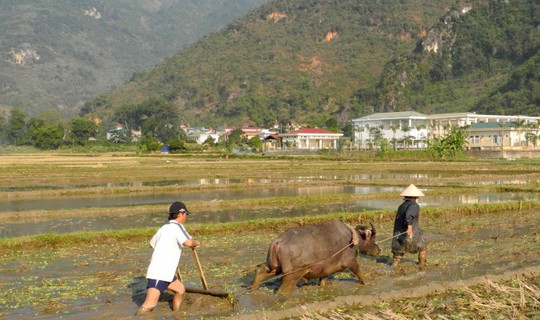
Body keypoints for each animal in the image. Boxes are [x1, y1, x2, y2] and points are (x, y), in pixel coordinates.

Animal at [252, 221, 382, 294]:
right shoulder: (350, 261)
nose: (379, 250)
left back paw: (253, 289)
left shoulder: (326, 267)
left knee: (261, 271)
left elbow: (324, 278)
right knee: (283, 290)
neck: (353, 239)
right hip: (291, 275)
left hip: (275, 267)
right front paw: (367, 281)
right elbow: (358, 271)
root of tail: (277, 242)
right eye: (373, 238)